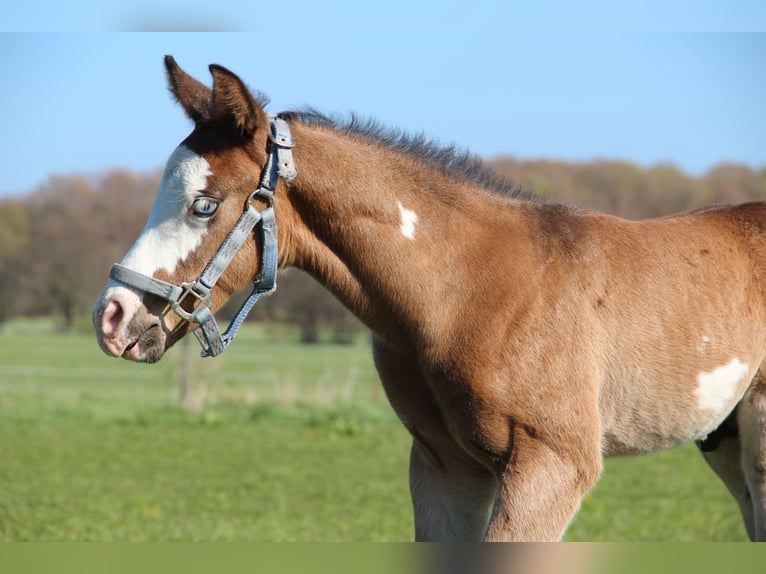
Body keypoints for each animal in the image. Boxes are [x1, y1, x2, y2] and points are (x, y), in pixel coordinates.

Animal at [93, 56, 766, 541]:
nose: (112, 317)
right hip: (727, 443)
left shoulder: (552, 466)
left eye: (205, 205)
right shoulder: (445, 466)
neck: (466, 291)